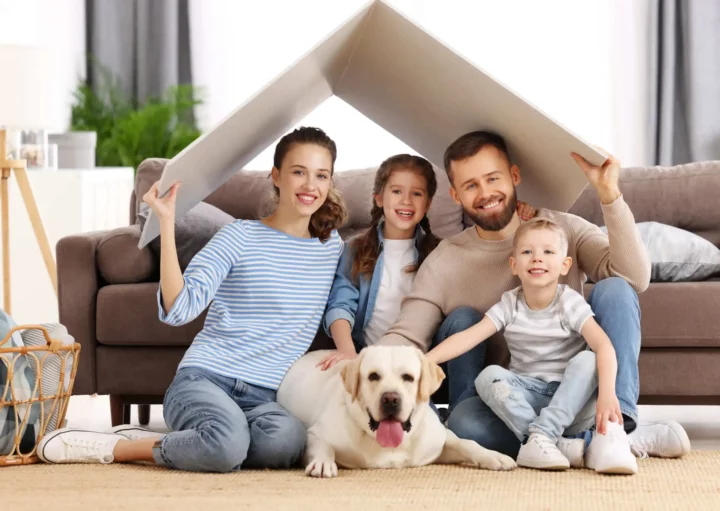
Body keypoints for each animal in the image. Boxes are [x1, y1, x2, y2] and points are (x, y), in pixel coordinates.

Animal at [276, 346, 516, 478]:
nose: (390, 399)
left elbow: (467, 443)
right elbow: (322, 445)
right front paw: (323, 462)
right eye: (373, 376)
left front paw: (493, 456)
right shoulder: (315, 433)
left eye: (408, 377)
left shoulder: (438, 443)